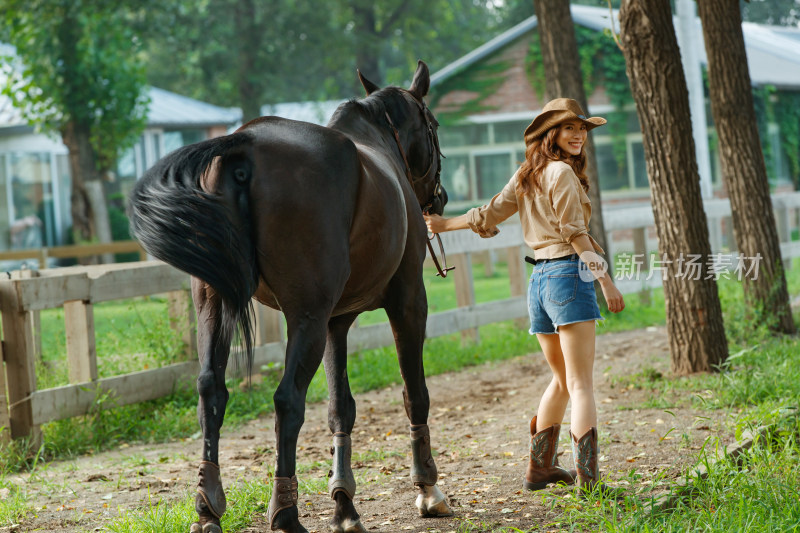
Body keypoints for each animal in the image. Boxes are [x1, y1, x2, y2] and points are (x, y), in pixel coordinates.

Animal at [130, 63, 450, 532]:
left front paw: (344, 505)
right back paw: (285, 512)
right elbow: (415, 394)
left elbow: (341, 408)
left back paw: (207, 507)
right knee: (287, 401)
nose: (439, 198)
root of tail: (242, 145)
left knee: (211, 391)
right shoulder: (407, 301)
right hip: (306, 317)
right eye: (434, 125)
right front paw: (427, 489)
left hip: (215, 306)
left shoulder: (336, 321)